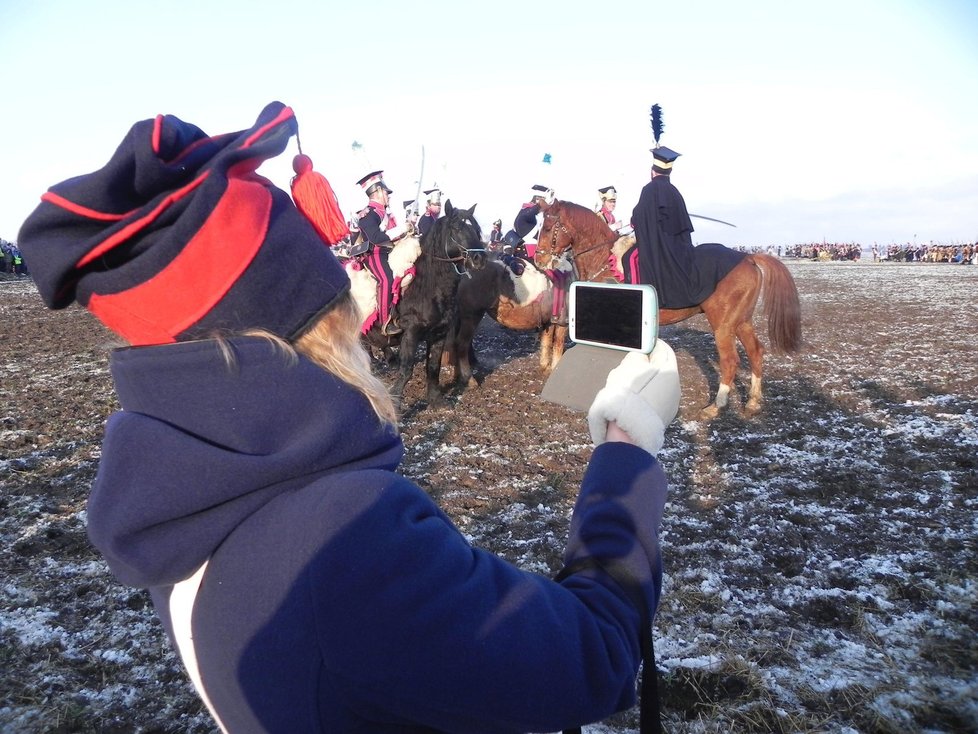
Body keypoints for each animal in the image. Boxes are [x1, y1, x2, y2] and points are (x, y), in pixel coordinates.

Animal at [364, 200, 486, 408]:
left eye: (477, 229)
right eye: (456, 228)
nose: (480, 259)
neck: (428, 286)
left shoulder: (439, 334)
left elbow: (433, 367)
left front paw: (436, 399)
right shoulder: (411, 333)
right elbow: (406, 370)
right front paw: (395, 404)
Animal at [532, 200, 800, 420]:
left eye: (548, 228)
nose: (540, 261)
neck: (603, 257)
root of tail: (748, 258)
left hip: (723, 325)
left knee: (730, 360)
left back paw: (717, 405)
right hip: (741, 321)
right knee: (755, 352)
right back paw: (753, 402)